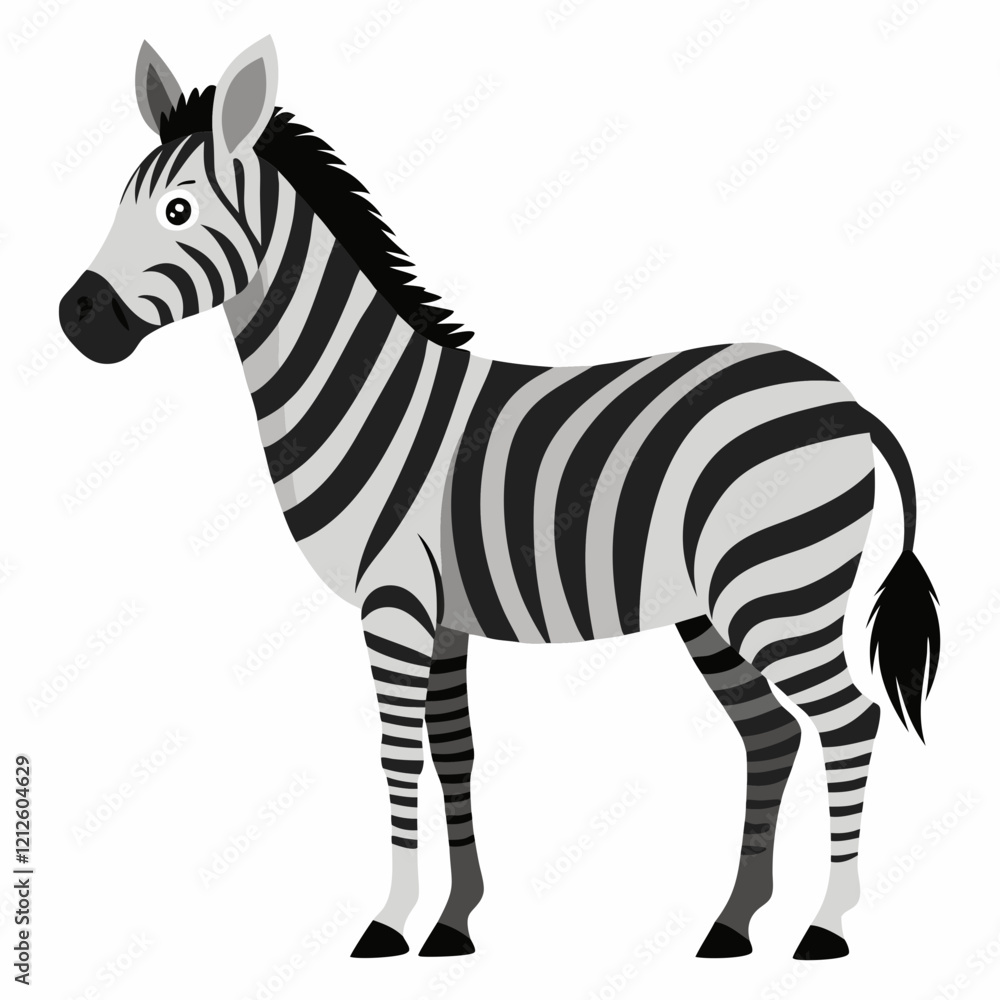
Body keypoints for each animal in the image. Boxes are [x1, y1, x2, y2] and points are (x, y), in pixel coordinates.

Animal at [59, 37, 940, 962]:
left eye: (179, 211)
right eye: (120, 203)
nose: (74, 317)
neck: (363, 391)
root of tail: (847, 399)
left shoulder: (393, 602)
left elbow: (397, 755)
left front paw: (387, 923)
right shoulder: (442, 614)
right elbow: (455, 751)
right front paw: (453, 922)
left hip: (780, 589)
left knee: (849, 723)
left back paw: (826, 927)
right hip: (713, 608)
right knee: (770, 732)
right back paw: (732, 925)